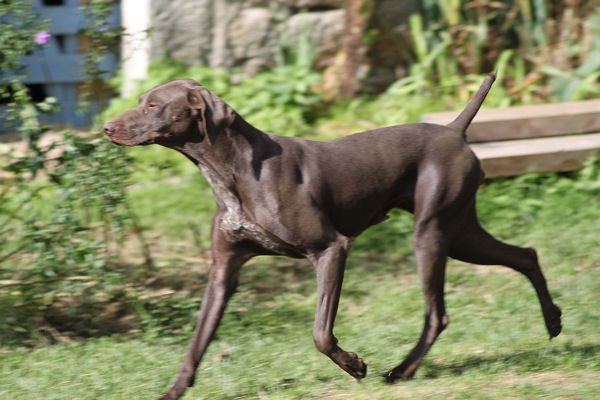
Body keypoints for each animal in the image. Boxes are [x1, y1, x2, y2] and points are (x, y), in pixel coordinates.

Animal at [104, 73, 562, 400]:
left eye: (153, 105)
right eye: (142, 100)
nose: (107, 127)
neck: (233, 170)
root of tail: (454, 129)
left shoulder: (330, 250)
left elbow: (320, 334)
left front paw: (355, 366)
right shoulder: (223, 271)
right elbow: (196, 344)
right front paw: (174, 391)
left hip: (431, 235)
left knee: (439, 313)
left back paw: (403, 370)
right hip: (462, 234)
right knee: (526, 255)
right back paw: (553, 320)